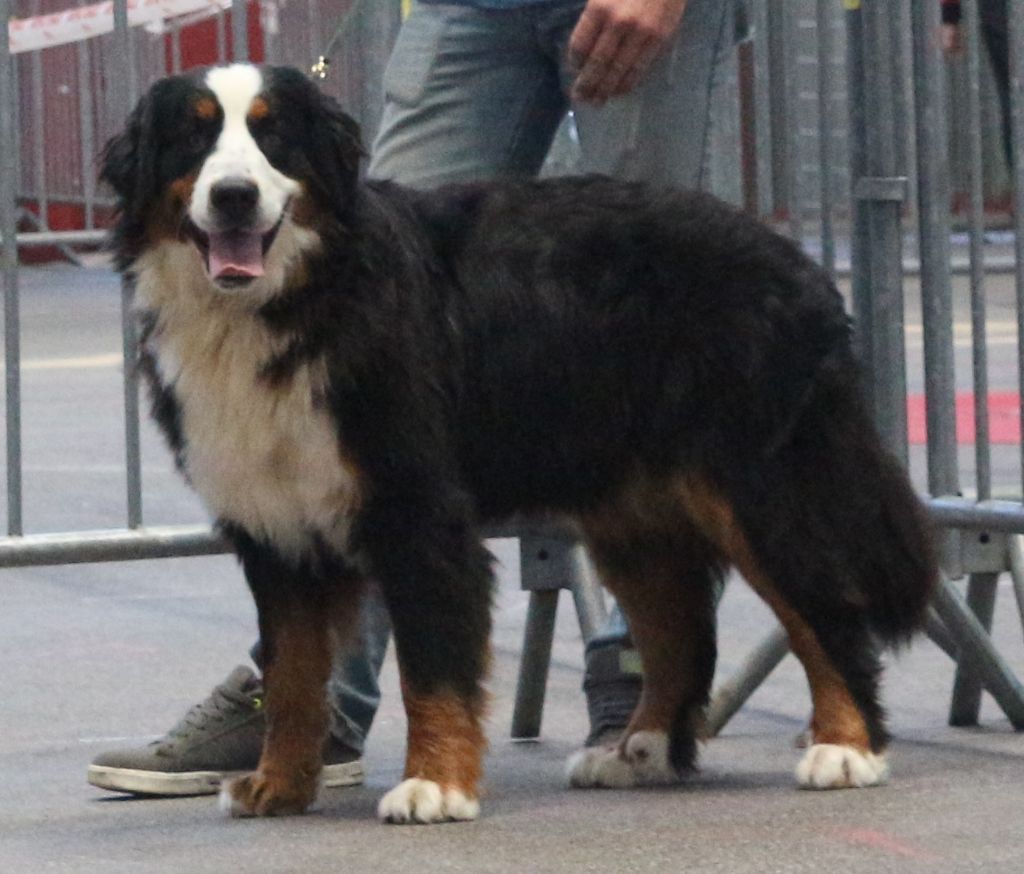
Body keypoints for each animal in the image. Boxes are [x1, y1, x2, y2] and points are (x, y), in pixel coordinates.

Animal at [101, 63, 937, 822]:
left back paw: (846, 748)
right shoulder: (274, 523)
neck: (297, 298)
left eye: (273, 134)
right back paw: (639, 751)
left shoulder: (417, 509)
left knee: (824, 611)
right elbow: (293, 676)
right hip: (632, 511)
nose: (234, 195)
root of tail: (798, 261)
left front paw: (434, 786)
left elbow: (431, 667)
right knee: (678, 632)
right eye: (193, 136)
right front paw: (278, 786)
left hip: (756, 488)